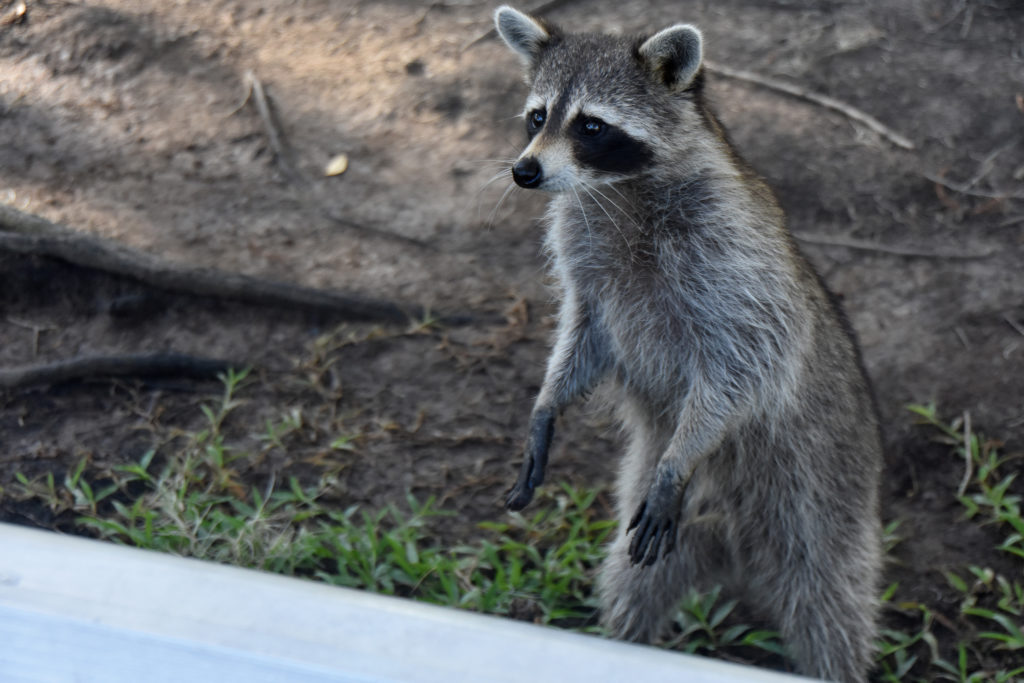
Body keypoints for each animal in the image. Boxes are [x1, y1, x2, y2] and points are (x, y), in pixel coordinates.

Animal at [493, 7, 883, 683]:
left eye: (591, 125)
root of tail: (737, 556)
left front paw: (682, 454)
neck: (619, 186)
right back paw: (622, 640)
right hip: (659, 536)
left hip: (822, 500)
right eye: (538, 116)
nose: (524, 171)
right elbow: (584, 336)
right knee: (631, 584)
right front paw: (547, 404)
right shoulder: (588, 262)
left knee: (831, 604)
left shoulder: (732, 259)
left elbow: (744, 362)